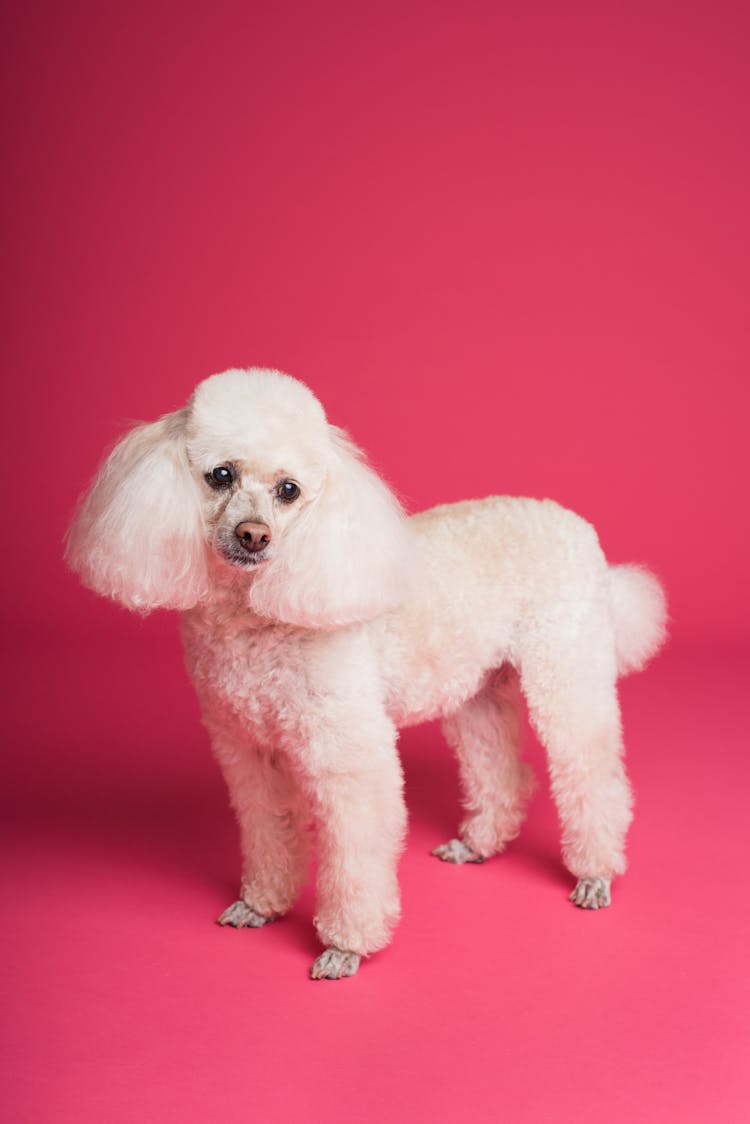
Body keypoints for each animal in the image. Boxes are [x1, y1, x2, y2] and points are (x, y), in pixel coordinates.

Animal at [67, 366, 670, 975]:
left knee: (592, 769)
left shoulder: (349, 755)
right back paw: (479, 843)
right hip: (476, 688)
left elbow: (355, 851)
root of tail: (573, 521)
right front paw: (261, 905)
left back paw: (595, 872)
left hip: (567, 668)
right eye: (220, 475)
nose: (253, 535)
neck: (256, 613)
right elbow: (267, 828)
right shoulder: (247, 749)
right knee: (500, 767)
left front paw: (344, 946)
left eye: (290, 490)